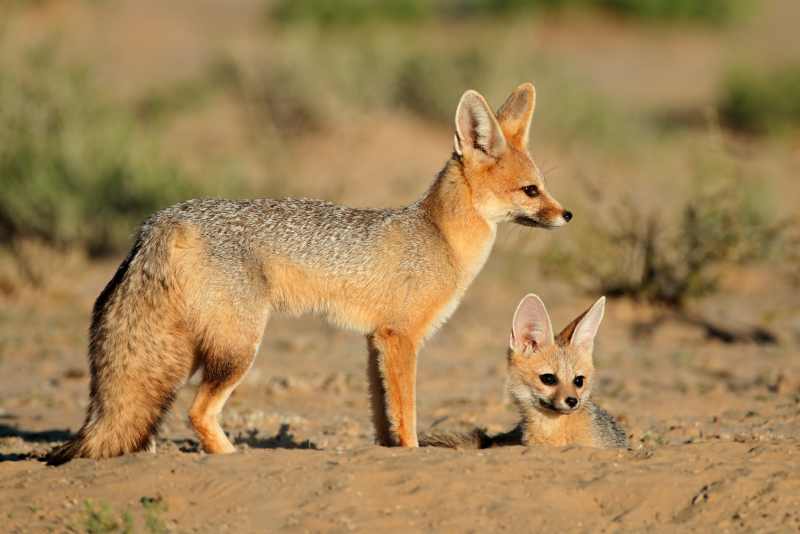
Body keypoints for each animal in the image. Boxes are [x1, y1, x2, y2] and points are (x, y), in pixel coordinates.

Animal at [47, 83, 573, 464]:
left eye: (543, 187)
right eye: (530, 191)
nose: (567, 215)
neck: (438, 236)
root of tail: (165, 217)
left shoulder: (375, 339)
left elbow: (383, 414)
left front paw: (385, 450)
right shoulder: (401, 338)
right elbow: (406, 413)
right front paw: (411, 452)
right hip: (239, 349)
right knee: (197, 412)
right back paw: (233, 456)